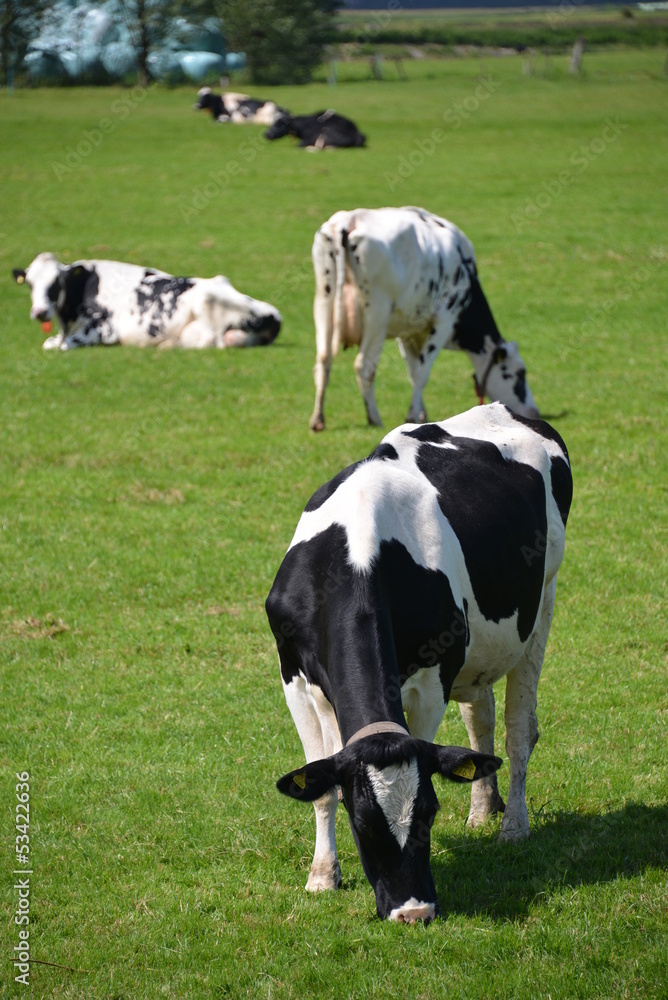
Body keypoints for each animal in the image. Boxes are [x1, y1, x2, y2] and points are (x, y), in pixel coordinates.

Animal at [12, 253, 281, 351]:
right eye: (30, 284)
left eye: (57, 282)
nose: (39, 312)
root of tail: (273, 316)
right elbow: (50, 343)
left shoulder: (103, 329)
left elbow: (63, 346)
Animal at [266, 402, 572, 922]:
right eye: (364, 822)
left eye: (428, 811)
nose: (414, 911)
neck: (356, 557)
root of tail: (507, 408)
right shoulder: (295, 681)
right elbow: (321, 784)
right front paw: (323, 875)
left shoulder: (432, 681)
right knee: (481, 720)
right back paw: (482, 808)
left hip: (542, 603)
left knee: (518, 731)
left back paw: (513, 824)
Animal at [309, 206, 539, 432]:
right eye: (520, 374)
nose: (534, 413)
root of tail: (348, 220)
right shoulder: (445, 320)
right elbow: (422, 372)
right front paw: (412, 415)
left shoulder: (408, 331)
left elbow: (413, 372)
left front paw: (421, 414)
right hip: (377, 313)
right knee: (365, 367)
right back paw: (374, 417)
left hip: (323, 302)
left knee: (323, 361)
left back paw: (318, 419)